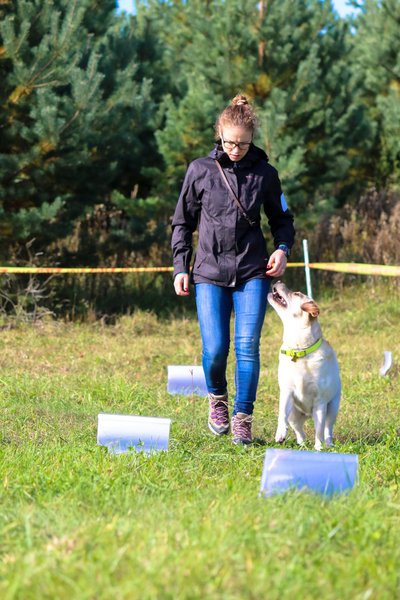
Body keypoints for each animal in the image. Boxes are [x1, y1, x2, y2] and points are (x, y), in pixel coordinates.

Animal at [268, 282, 340, 450]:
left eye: (297, 293)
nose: (278, 281)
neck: (300, 350)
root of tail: (307, 414)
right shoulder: (286, 392)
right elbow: (281, 414)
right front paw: (280, 434)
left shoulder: (320, 401)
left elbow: (319, 430)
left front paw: (319, 448)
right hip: (294, 414)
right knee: (299, 430)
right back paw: (301, 444)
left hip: (332, 407)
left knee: (327, 428)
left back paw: (329, 444)